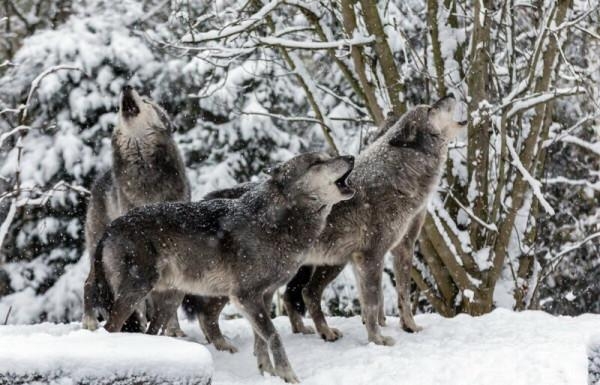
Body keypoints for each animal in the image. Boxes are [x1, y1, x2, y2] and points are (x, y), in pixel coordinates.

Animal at [81, 86, 190, 332]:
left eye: (147, 100)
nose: (126, 86)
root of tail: (99, 180)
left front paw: (174, 330)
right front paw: (139, 325)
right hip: (97, 247)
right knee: (89, 283)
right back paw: (89, 322)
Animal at [186, 95, 464, 344]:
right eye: (430, 108)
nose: (450, 94)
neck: (397, 176)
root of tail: (208, 199)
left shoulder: (387, 252)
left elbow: (388, 297)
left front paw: (400, 327)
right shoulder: (376, 254)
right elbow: (378, 301)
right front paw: (381, 338)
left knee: (299, 295)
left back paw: (313, 331)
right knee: (209, 313)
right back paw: (222, 346)